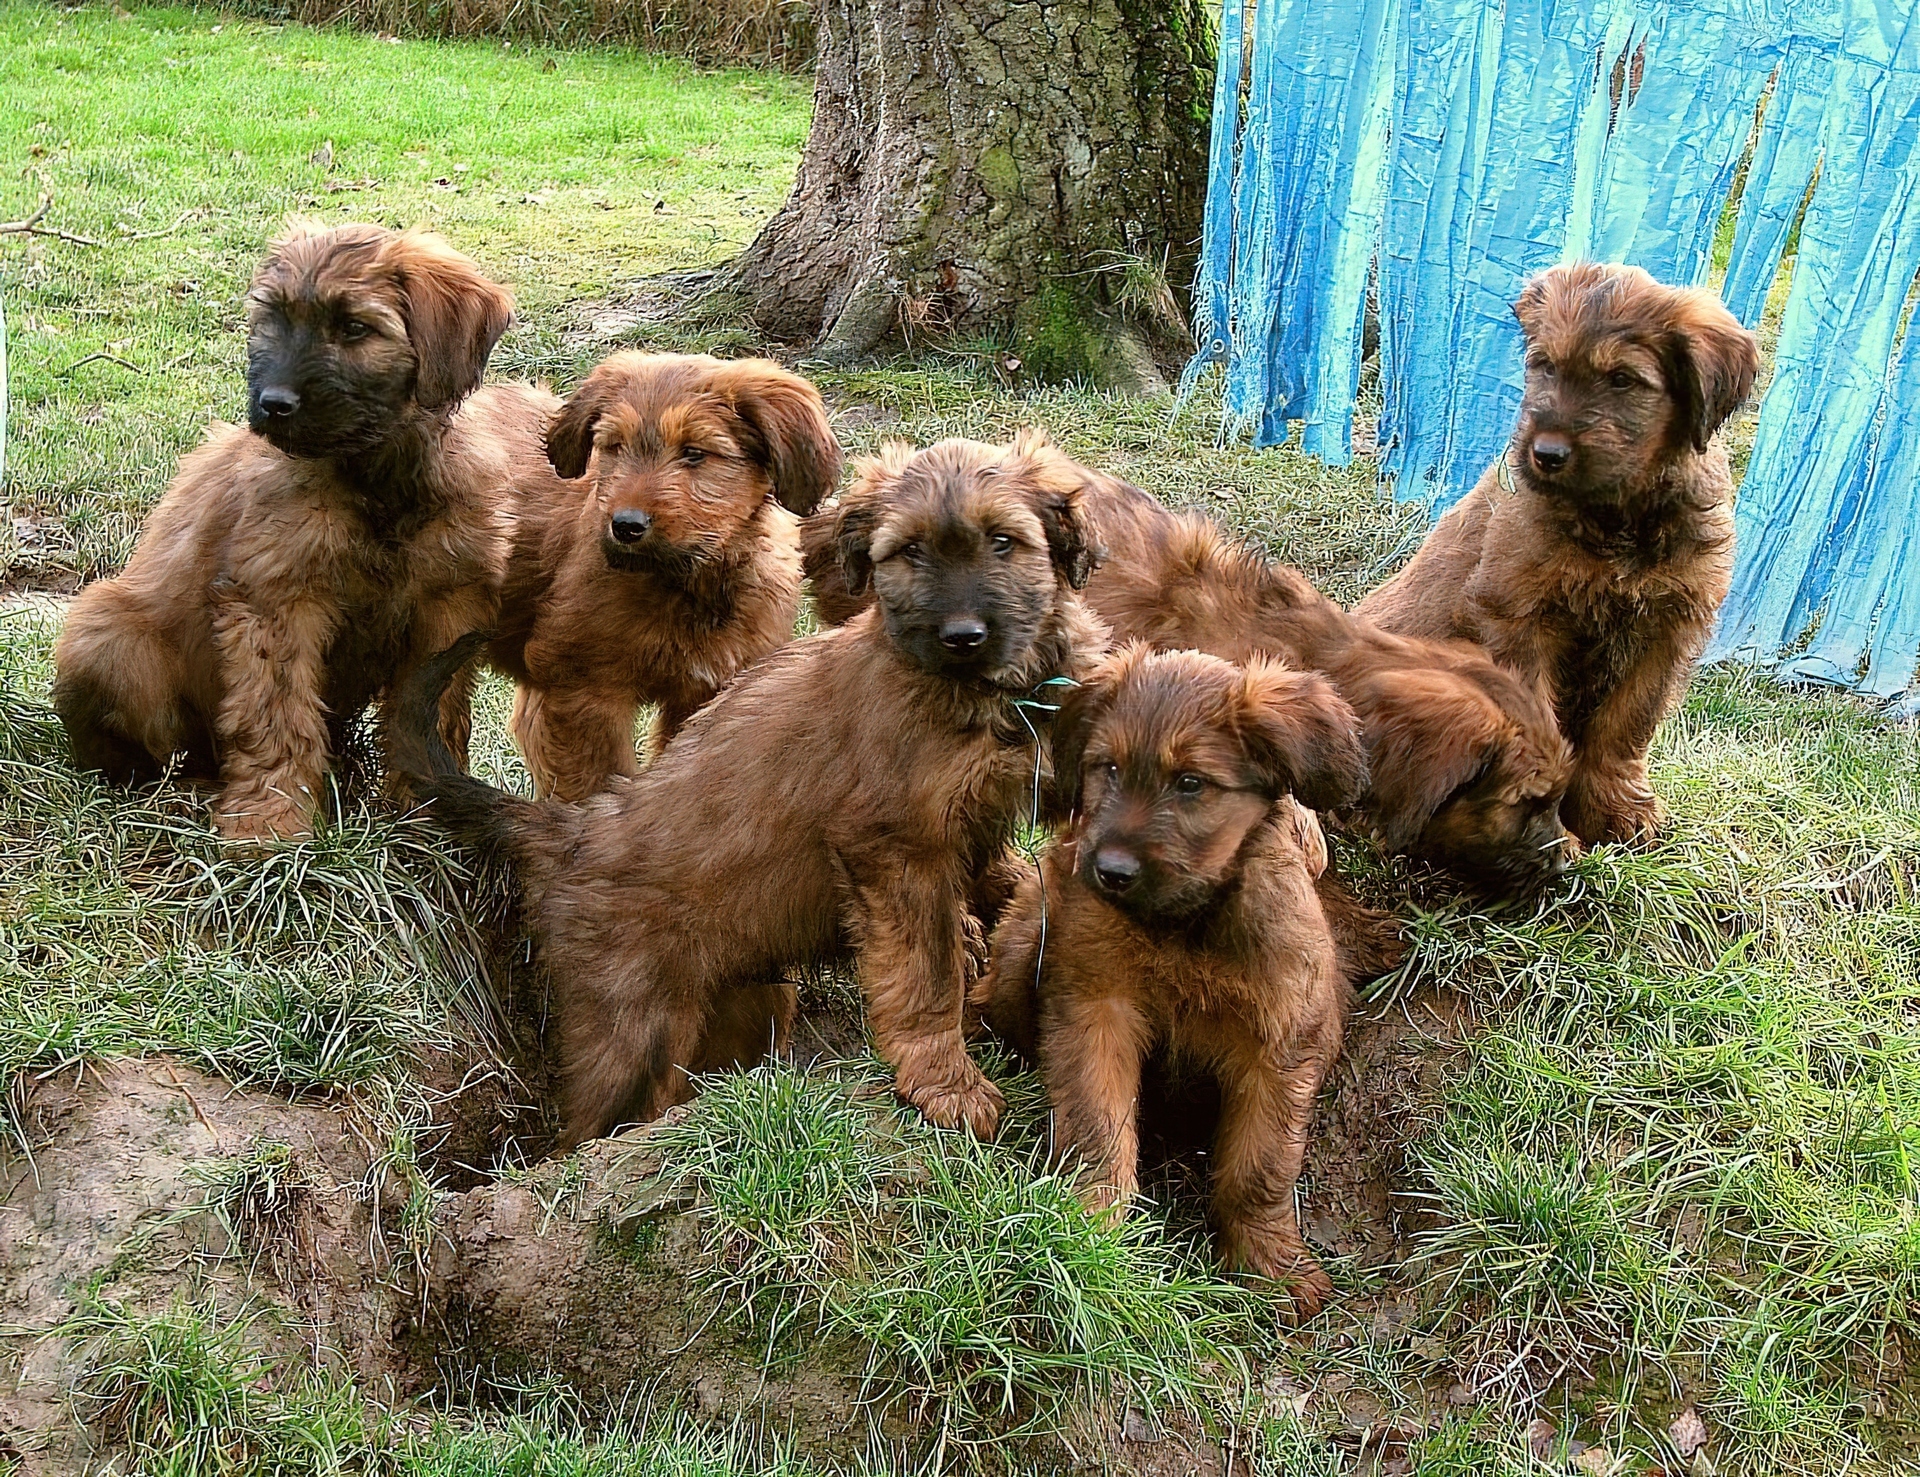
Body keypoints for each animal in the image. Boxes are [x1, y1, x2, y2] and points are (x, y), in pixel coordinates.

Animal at [56, 221, 552, 841]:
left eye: (355, 328)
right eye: (275, 318)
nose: (273, 404)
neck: (376, 479)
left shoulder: (449, 608)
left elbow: (429, 717)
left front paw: (426, 812)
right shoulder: (278, 600)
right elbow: (277, 716)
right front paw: (270, 823)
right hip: (110, 638)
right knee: (145, 757)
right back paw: (184, 792)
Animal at [389, 432, 1105, 1144]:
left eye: (1004, 541)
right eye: (910, 550)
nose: (963, 637)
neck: (986, 696)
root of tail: (571, 827)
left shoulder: (984, 805)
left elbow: (997, 872)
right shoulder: (895, 848)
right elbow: (925, 976)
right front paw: (947, 1085)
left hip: (742, 1001)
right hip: (629, 1030)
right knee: (589, 1129)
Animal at [487, 353, 840, 799]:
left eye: (693, 452)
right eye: (615, 446)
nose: (625, 526)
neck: (687, 583)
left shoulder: (706, 692)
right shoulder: (580, 694)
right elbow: (597, 781)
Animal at [975, 645, 1367, 1313]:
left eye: (1190, 783)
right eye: (1107, 767)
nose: (1110, 870)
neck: (1183, 927)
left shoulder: (1283, 1038)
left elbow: (1260, 1166)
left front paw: (1268, 1261)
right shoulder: (1096, 1007)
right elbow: (1097, 1125)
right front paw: (1089, 1228)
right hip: (1025, 945)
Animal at [1351, 261, 1758, 845]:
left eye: (1622, 380)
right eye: (1543, 366)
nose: (1545, 454)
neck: (1618, 520)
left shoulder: (1668, 627)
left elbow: (1626, 724)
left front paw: (1614, 808)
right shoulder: (1520, 616)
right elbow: (1540, 723)